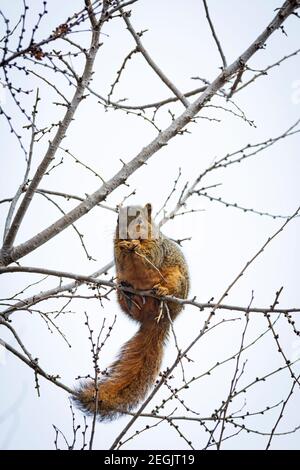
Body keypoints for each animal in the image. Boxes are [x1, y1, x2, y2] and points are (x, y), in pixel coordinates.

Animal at [76, 202, 191, 418]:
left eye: (139, 220)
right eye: (117, 220)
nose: (127, 236)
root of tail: (159, 319)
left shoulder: (156, 247)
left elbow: (149, 256)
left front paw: (137, 246)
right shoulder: (118, 257)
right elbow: (119, 257)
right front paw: (122, 246)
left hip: (177, 281)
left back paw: (162, 292)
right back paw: (129, 294)